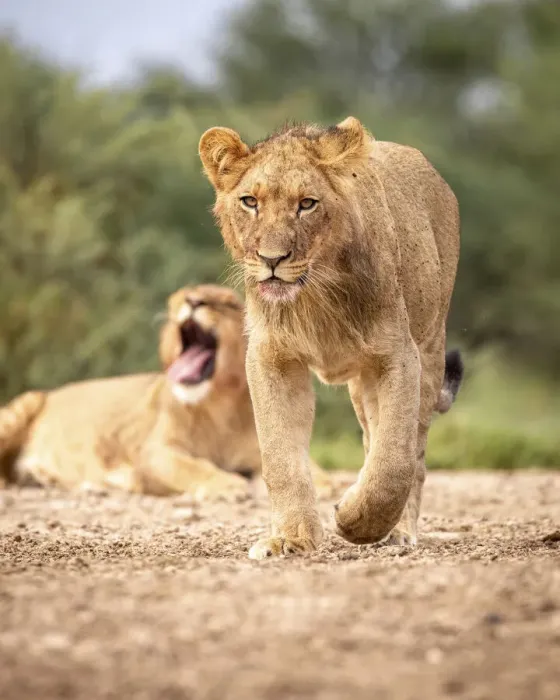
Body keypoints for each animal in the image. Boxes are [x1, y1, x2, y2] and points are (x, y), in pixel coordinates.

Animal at [0, 284, 332, 499]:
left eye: (225, 303)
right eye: (181, 296)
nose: (192, 301)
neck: (219, 407)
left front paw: (325, 482)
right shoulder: (155, 451)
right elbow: (191, 466)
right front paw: (228, 485)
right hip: (26, 404)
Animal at [199, 117, 463, 558]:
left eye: (307, 204)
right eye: (250, 201)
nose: (272, 260)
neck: (315, 297)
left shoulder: (398, 354)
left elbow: (395, 459)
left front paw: (355, 521)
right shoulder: (272, 358)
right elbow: (280, 457)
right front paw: (290, 538)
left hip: (429, 347)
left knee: (413, 451)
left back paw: (397, 530)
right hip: (364, 384)